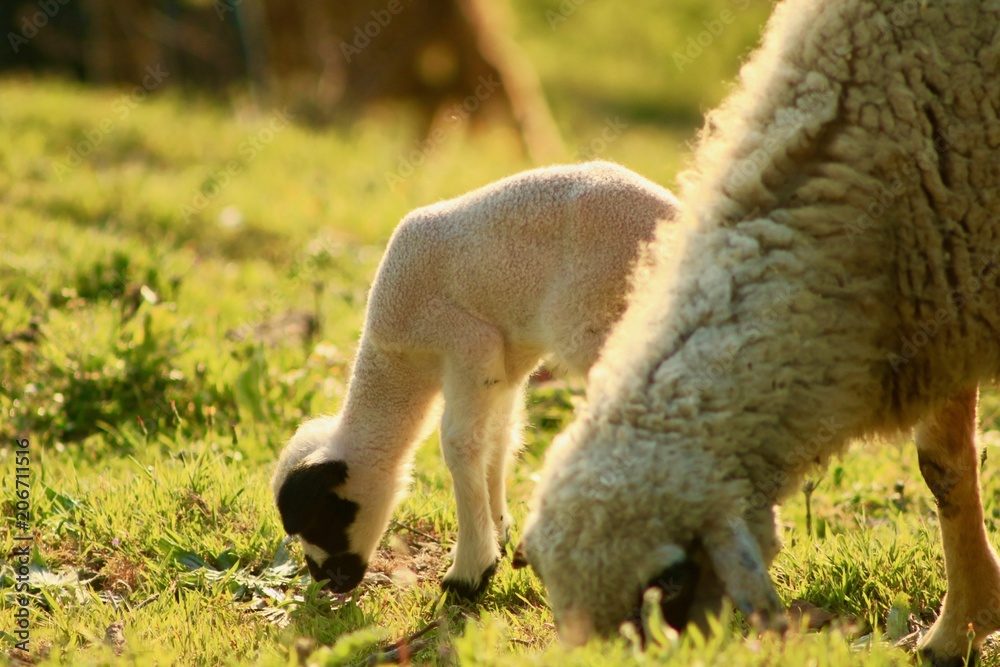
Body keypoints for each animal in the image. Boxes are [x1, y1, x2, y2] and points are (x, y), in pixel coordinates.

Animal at [272, 161, 680, 599]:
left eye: (327, 514)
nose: (326, 579)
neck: (402, 363)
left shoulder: (468, 343)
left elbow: (460, 443)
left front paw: (468, 573)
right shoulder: (505, 361)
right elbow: (500, 437)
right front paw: (498, 533)